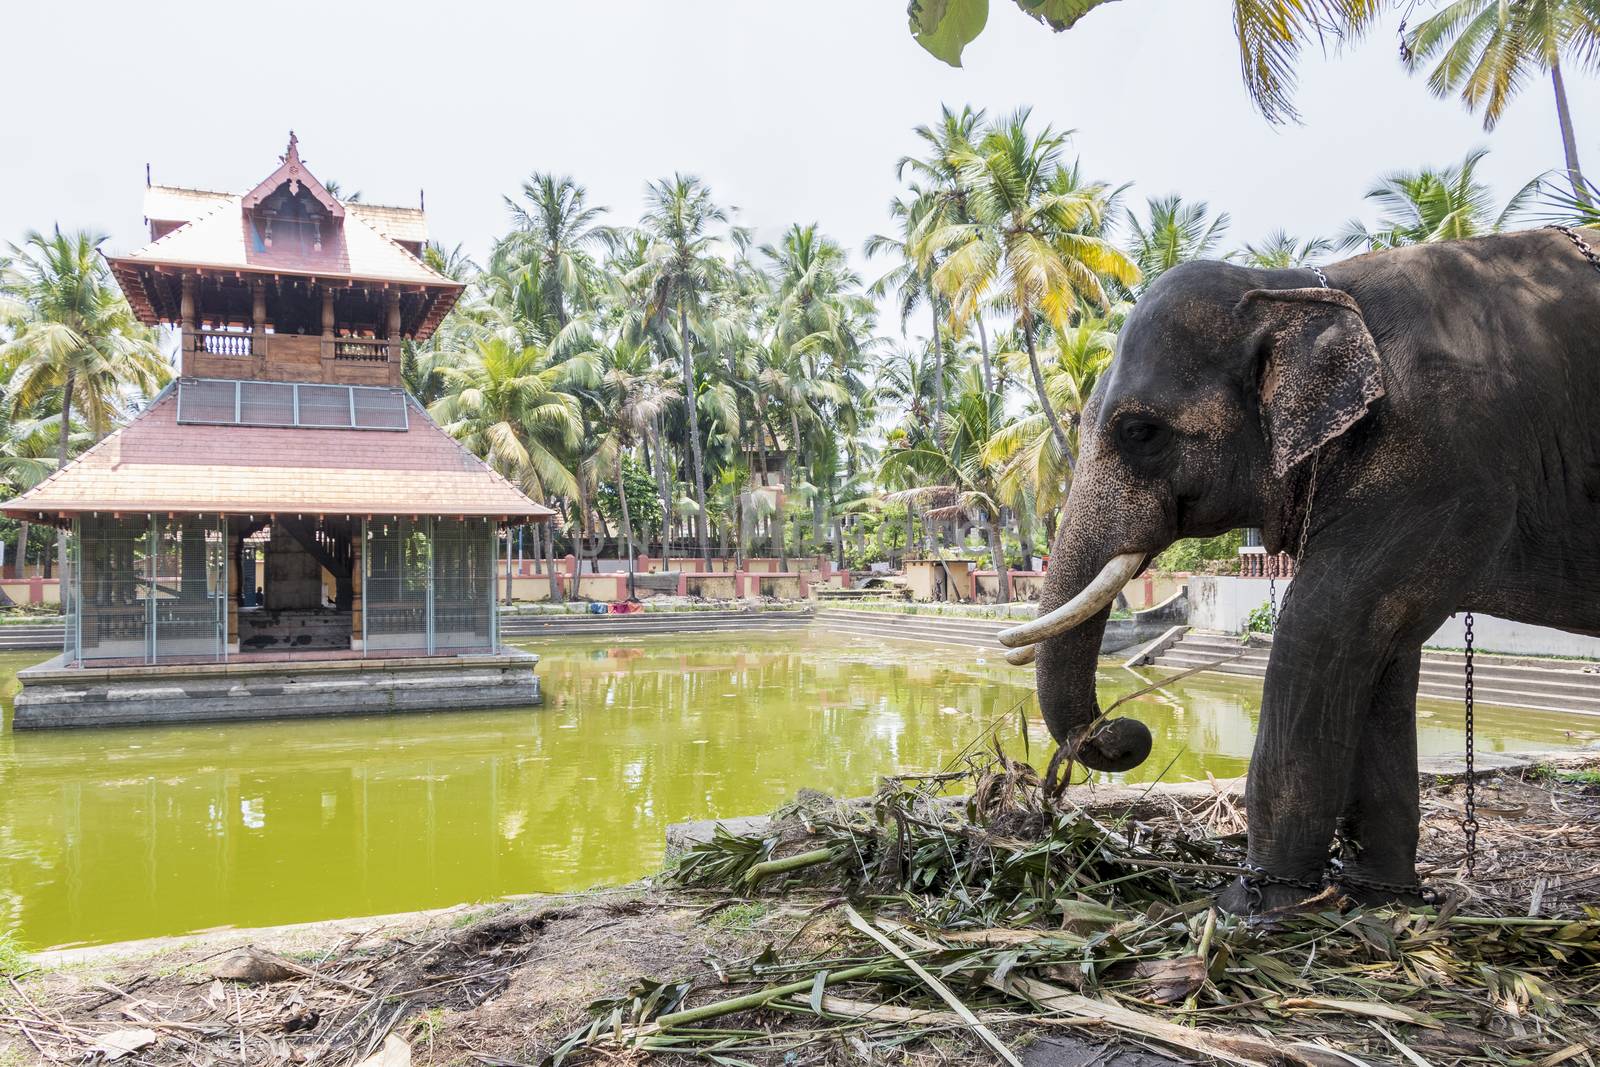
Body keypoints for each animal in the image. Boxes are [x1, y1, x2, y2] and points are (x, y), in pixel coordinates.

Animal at [998, 230, 1600, 915]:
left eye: (1139, 431)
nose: (1126, 732)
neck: (1298, 287)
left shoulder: (1444, 466)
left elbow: (1323, 632)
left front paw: (1251, 906)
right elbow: (1382, 656)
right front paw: (1376, 896)